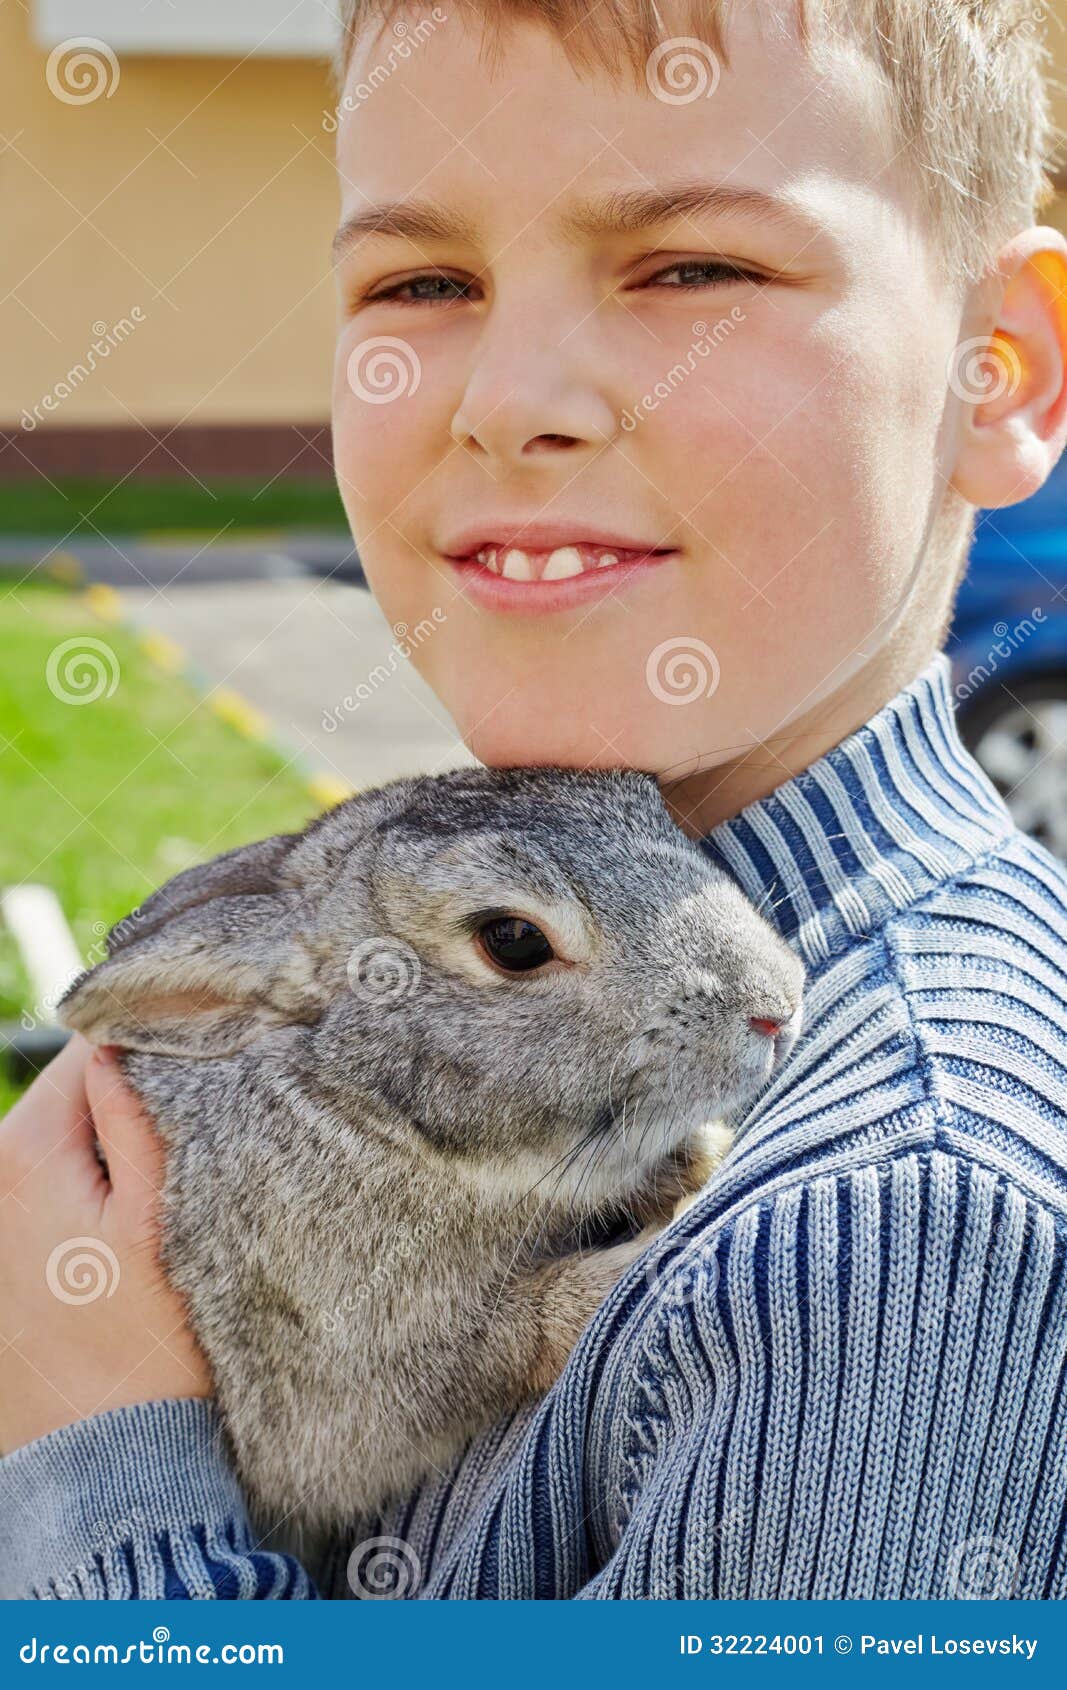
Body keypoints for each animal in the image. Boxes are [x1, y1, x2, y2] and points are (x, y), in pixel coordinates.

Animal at [57, 764, 804, 1559]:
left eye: (649, 805)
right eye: (513, 941)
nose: (777, 1004)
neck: (363, 1108)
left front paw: (697, 1161)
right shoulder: (354, 1367)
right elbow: (521, 1331)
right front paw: (659, 1242)